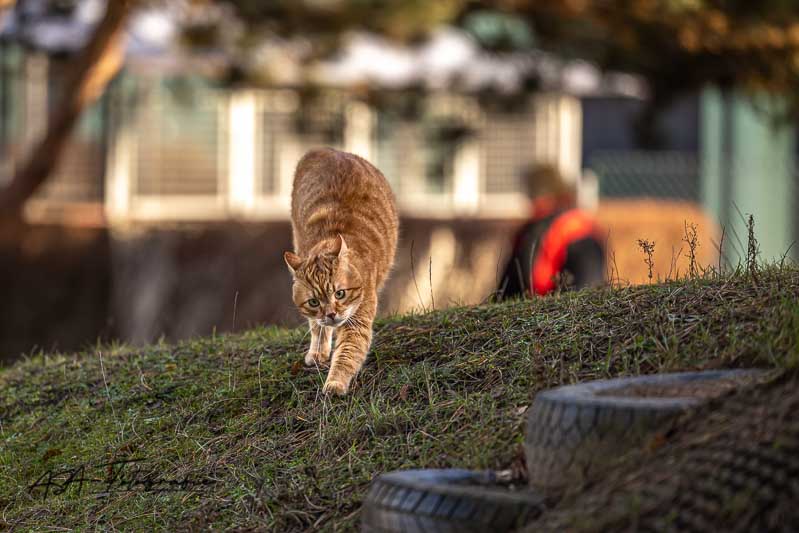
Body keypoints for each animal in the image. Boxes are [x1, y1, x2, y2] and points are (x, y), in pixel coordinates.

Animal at [286, 148, 400, 392]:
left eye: (340, 294)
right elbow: (317, 327)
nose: (331, 313)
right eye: (314, 302)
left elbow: (347, 354)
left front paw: (335, 382)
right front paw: (318, 352)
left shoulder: (357, 322)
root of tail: (329, 150)